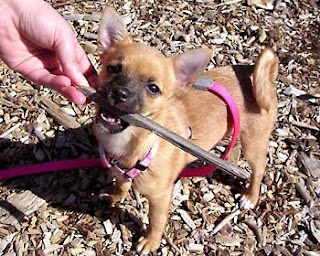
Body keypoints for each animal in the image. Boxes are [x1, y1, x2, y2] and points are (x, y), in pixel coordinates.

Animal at [92, 7, 278, 253]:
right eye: (113, 68)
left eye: (153, 88)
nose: (120, 92)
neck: (131, 141)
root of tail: (257, 77)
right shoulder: (119, 171)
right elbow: (121, 183)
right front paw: (115, 195)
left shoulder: (160, 198)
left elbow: (156, 221)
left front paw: (150, 241)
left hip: (254, 145)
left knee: (258, 170)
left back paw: (251, 195)